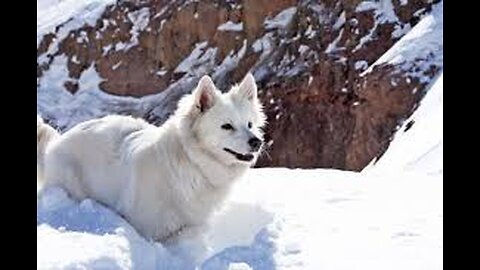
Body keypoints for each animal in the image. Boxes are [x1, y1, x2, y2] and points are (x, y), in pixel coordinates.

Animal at [38, 73, 266, 246]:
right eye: (226, 126)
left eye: (249, 124)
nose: (257, 142)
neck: (191, 162)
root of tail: (57, 142)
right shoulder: (149, 228)